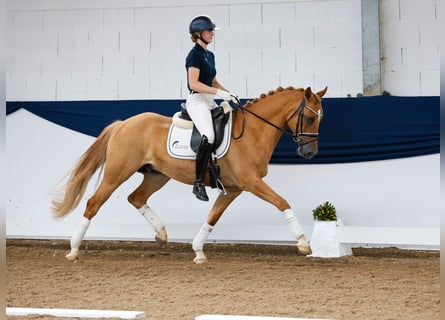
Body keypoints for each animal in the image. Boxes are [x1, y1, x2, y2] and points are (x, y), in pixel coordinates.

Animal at [52, 85, 328, 262]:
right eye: (309, 118)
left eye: (320, 119)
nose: (309, 153)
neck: (253, 131)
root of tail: (123, 124)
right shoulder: (251, 182)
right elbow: (282, 202)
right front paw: (303, 241)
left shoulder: (233, 189)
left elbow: (212, 217)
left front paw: (198, 251)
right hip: (117, 173)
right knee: (94, 203)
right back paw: (74, 250)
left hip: (157, 175)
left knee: (136, 198)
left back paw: (161, 234)